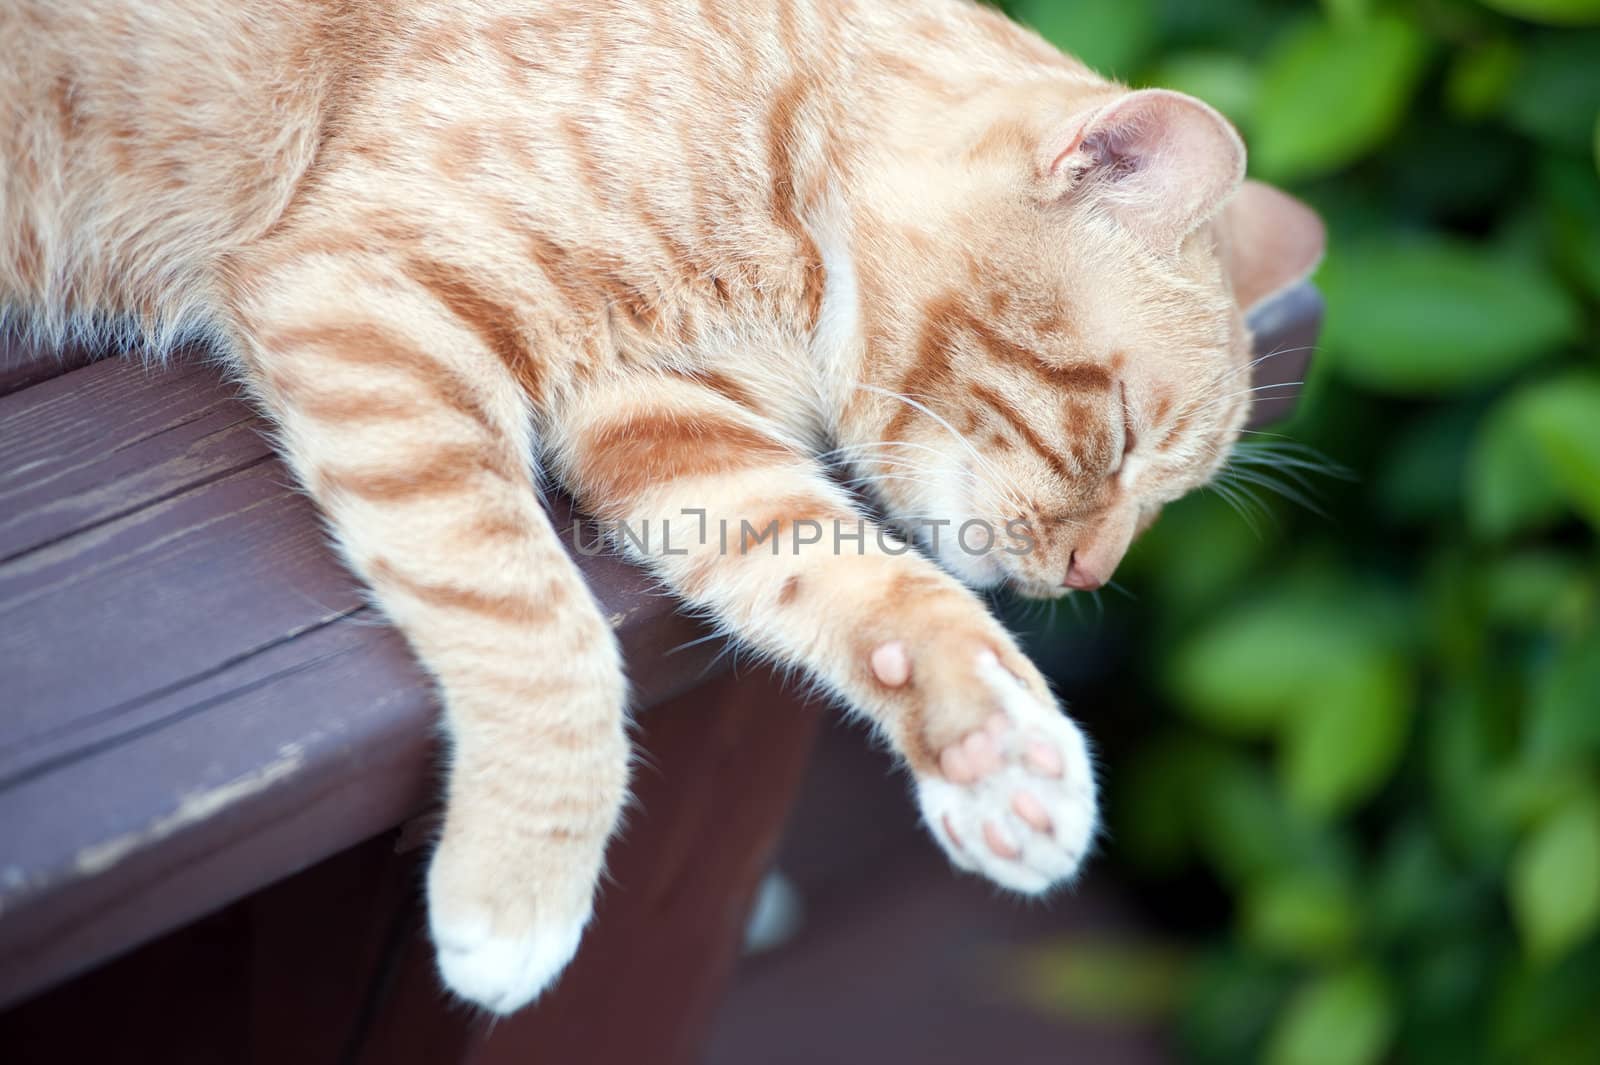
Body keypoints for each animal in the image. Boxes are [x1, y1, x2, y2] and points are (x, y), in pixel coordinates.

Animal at [0, 0, 1324, 1010]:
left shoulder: (678, 427)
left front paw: (996, 750)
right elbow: (536, 618)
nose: (1094, 574)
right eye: (1122, 436)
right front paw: (524, 881)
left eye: (1163, 491)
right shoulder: (373, 301)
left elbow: (865, 579)